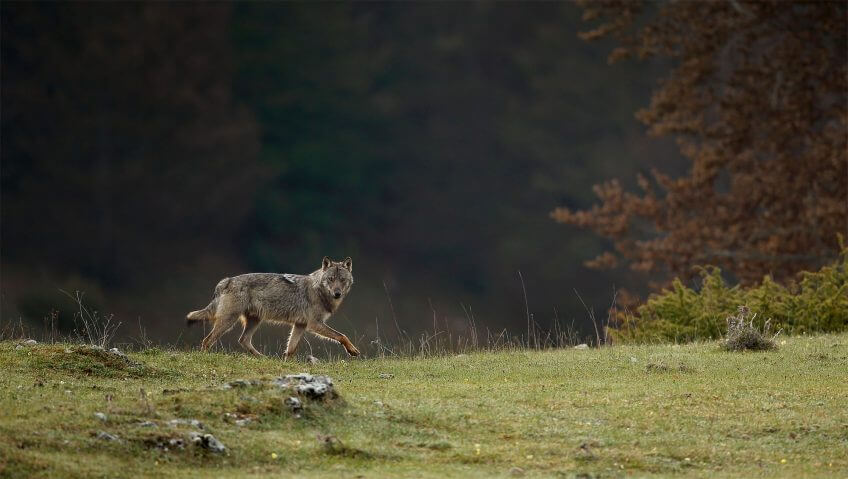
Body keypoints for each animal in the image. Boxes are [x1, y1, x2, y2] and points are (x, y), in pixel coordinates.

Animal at [186, 257, 359, 359]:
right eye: (331, 279)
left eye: (342, 280)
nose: (337, 293)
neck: (319, 291)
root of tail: (226, 280)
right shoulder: (314, 324)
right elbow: (342, 335)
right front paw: (352, 350)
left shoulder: (300, 325)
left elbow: (290, 349)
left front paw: (287, 364)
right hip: (229, 321)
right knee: (207, 340)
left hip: (254, 321)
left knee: (243, 340)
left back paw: (263, 358)